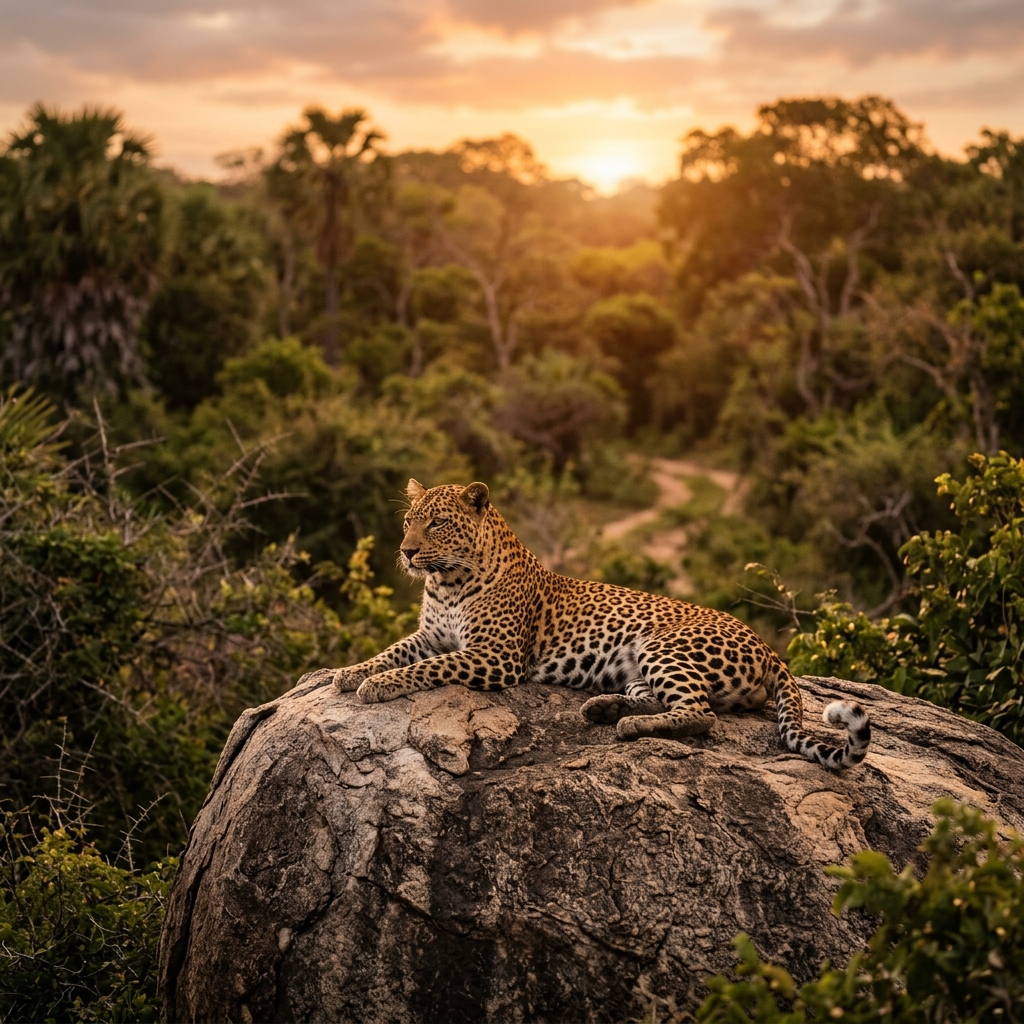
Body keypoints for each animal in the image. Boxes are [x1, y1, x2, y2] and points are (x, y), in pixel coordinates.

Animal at [317, 479, 870, 769]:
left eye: (437, 523)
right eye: (408, 520)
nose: (407, 551)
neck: (447, 580)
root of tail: (768, 647)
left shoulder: (495, 656)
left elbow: (425, 669)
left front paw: (377, 685)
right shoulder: (430, 635)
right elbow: (393, 652)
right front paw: (348, 673)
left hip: (664, 647)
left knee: (701, 714)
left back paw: (628, 724)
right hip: (643, 666)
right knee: (678, 701)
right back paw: (604, 708)